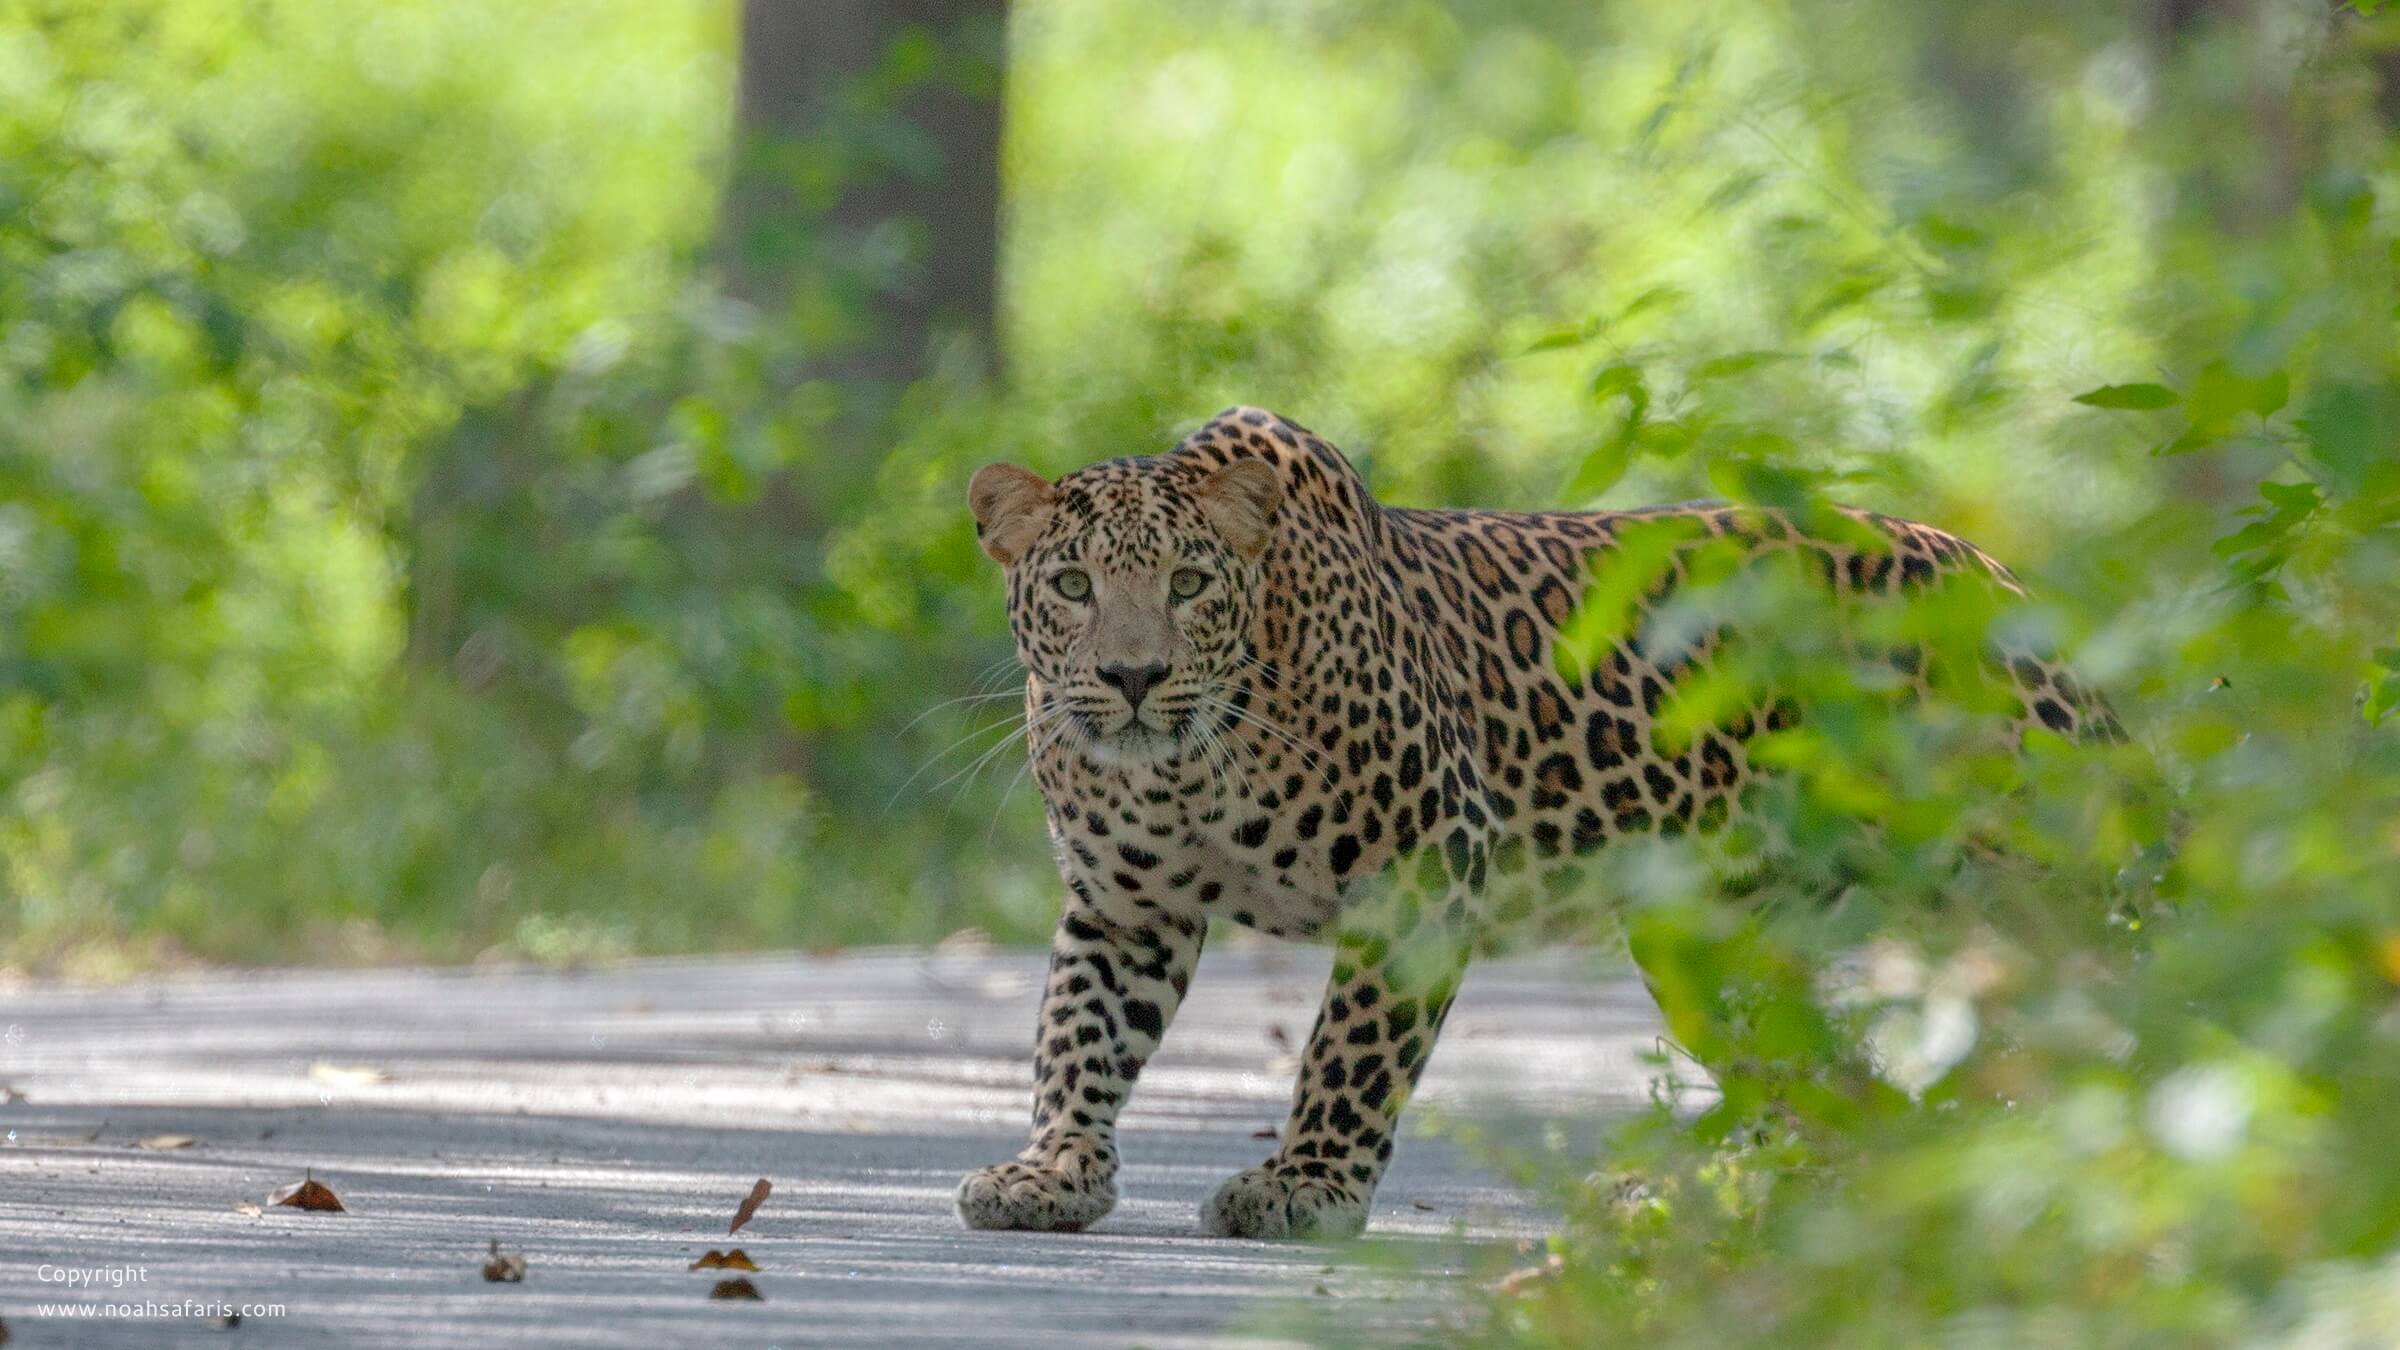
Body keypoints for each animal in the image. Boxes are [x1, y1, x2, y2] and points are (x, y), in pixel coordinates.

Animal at [953, 406, 2120, 1240]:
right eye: (1073, 584)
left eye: (1190, 583)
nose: (1133, 677)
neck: (1185, 772)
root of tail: (2001, 580)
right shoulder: (1123, 908)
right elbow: (1079, 1038)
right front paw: (1051, 1173)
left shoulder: (1425, 863)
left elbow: (1352, 1050)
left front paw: (1307, 1187)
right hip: (1711, 943)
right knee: (1832, 1087)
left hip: (2038, 865)